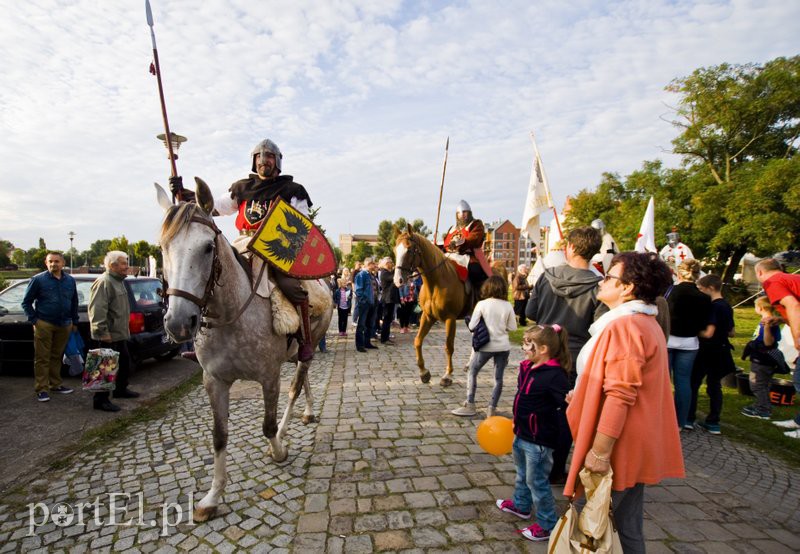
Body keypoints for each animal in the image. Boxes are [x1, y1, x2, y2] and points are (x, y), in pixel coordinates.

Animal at [155, 179, 332, 520]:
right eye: (162, 248)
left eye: (207, 247)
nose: (179, 323)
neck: (231, 315)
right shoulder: (214, 381)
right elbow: (219, 437)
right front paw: (212, 497)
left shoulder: (268, 376)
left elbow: (267, 425)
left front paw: (278, 450)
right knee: (303, 380)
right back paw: (308, 412)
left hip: (309, 343)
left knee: (296, 384)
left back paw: (289, 428)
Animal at [394, 226, 468, 386]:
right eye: (395, 250)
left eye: (409, 250)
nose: (398, 280)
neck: (436, 283)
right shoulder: (428, 316)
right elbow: (417, 341)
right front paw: (424, 372)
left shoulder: (450, 319)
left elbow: (448, 346)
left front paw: (448, 375)